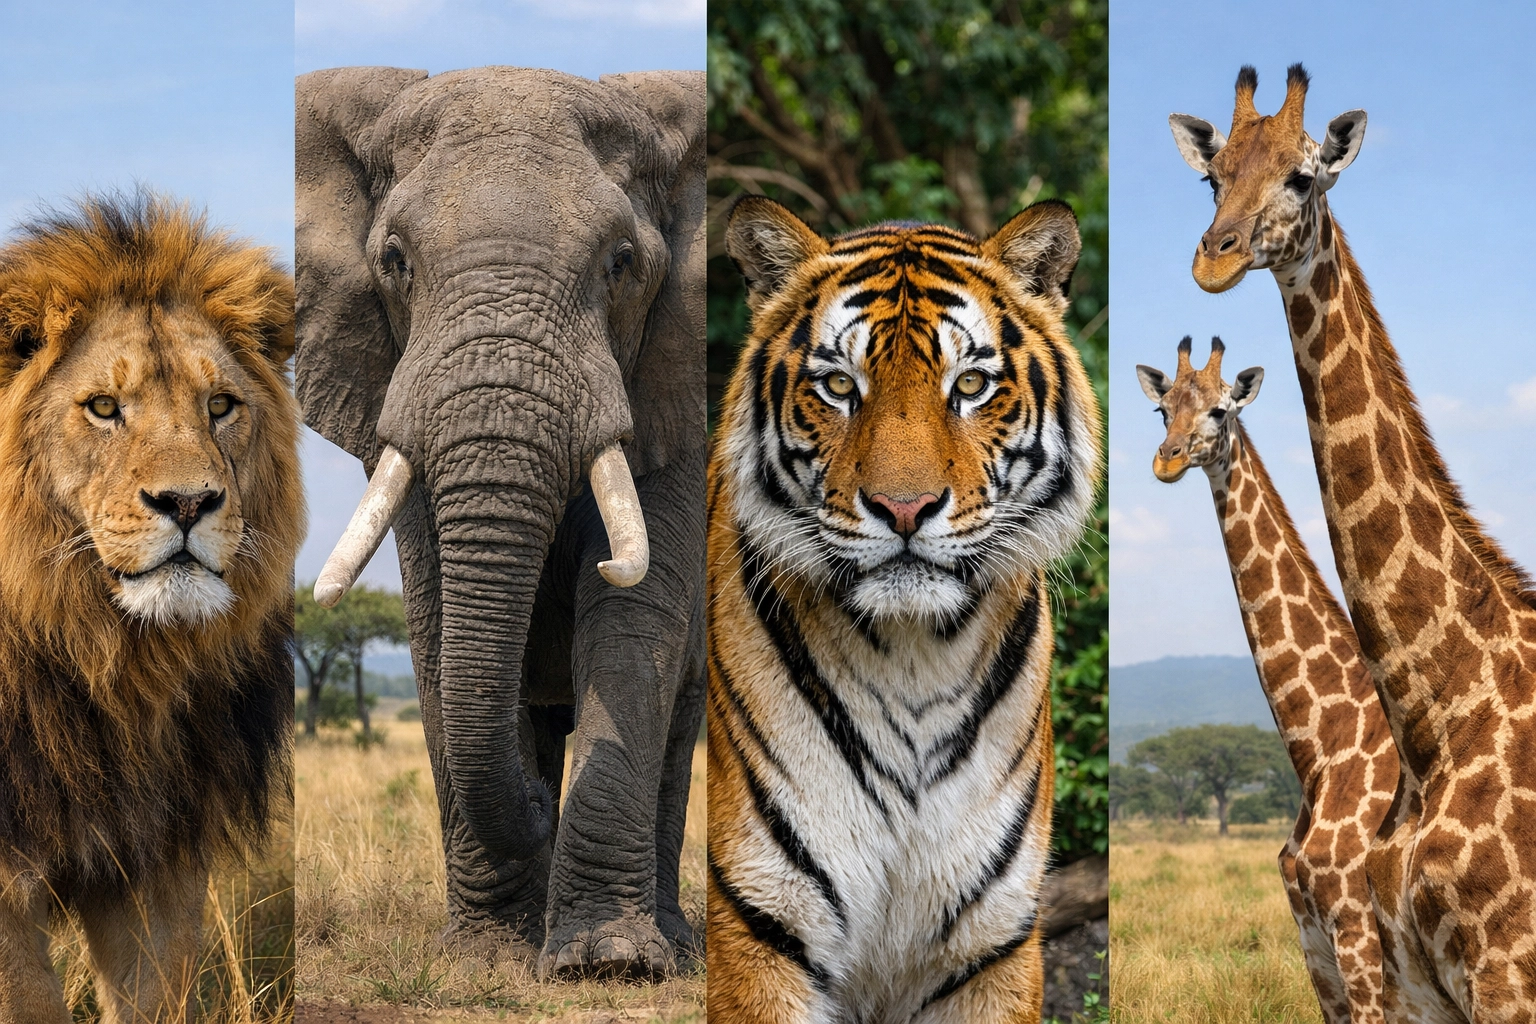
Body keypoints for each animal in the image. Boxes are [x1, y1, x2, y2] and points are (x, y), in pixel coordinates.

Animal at [293, 66, 706, 978]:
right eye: (395, 262)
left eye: (621, 263)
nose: (541, 811)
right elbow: (438, 618)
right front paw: (485, 959)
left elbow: (636, 617)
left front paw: (607, 963)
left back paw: (672, 940)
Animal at [705, 196, 1102, 1024]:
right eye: (838, 385)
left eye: (972, 384)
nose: (905, 507)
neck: (914, 654)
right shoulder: (761, 921)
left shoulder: (989, 941)